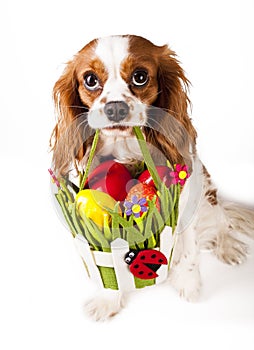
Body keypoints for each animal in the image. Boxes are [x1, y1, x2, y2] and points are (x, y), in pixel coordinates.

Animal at [49, 34, 254, 320]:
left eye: (140, 76)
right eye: (90, 80)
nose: (115, 108)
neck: (127, 150)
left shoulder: (185, 197)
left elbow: (189, 250)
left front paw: (189, 286)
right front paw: (108, 300)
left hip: (207, 197)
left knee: (221, 221)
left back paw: (227, 246)